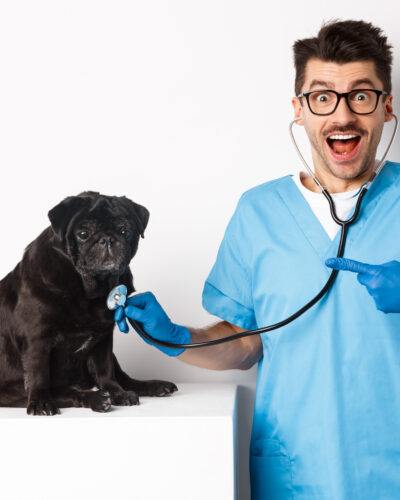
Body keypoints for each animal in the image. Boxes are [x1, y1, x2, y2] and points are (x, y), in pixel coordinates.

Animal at [0, 189, 177, 416]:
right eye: (83, 234)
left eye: (125, 231)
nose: (107, 239)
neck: (88, 289)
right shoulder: (37, 338)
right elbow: (38, 374)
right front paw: (40, 402)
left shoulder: (103, 337)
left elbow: (105, 371)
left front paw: (117, 393)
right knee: (61, 390)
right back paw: (94, 398)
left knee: (122, 377)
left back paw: (150, 386)